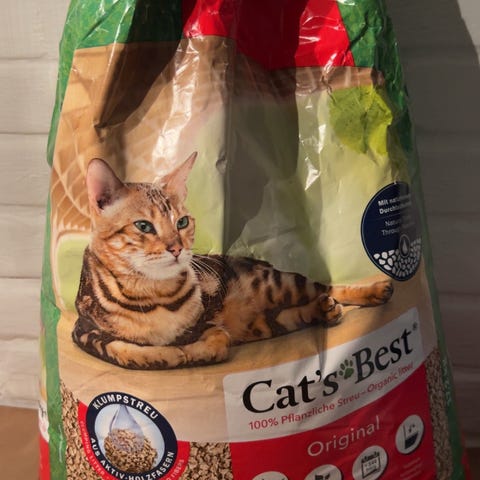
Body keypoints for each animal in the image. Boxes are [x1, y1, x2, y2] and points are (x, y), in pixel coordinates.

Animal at [72, 153, 393, 369]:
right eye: (143, 226)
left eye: (182, 222)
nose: (177, 249)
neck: (155, 294)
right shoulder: (84, 331)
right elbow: (122, 349)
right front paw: (166, 354)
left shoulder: (205, 322)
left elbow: (217, 341)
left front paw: (193, 352)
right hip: (265, 322)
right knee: (296, 312)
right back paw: (324, 310)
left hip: (279, 284)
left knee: (327, 285)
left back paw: (375, 290)